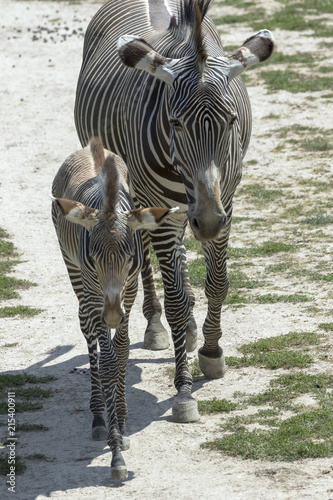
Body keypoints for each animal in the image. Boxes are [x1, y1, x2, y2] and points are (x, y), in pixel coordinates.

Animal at [51, 138, 175, 480]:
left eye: (130, 257)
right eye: (94, 258)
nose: (111, 316)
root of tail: (91, 147)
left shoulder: (128, 293)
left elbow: (121, 353)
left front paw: (121, 422)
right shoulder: (95, 290)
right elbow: (106, 361)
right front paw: (115, 448)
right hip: (74, 274)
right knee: (87, 330)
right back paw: (97, 416)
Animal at [74, 0, 274, 422]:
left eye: (231, 120)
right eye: (175, 122)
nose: (208, 222)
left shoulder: (226, 201)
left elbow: (218, 282)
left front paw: (211, 351)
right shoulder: (166, 208)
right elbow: (177, 301)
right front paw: (184, 392)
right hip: (139, 196)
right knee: (149, 261)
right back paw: (155, 324)